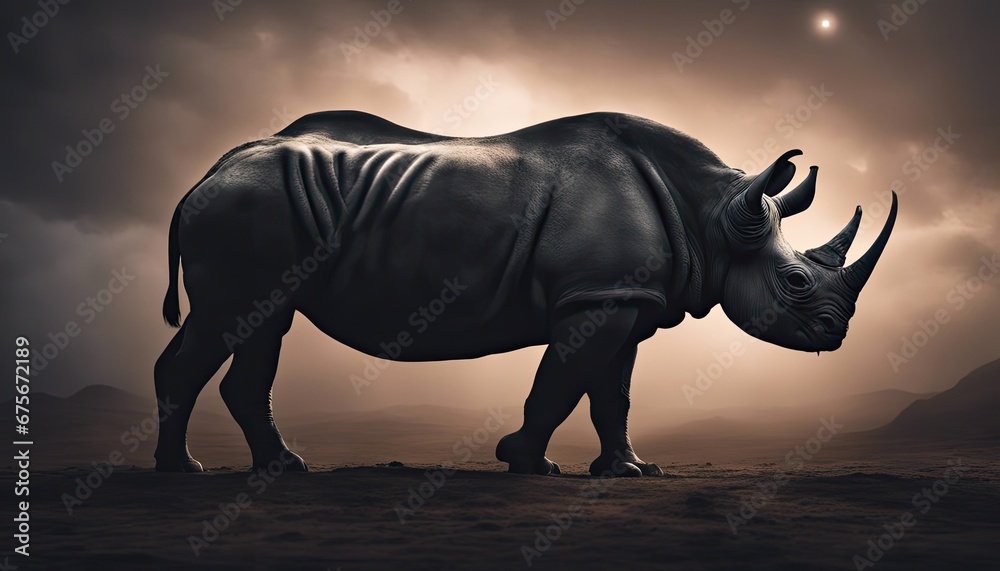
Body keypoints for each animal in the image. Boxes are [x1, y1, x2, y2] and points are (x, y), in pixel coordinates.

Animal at [154, 111, 897, 476]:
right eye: (796, 282)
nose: (835, 333)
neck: (715, 213)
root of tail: (203, 175)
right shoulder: (595, 297)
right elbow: (561, 383)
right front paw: (526, 462)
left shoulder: (622, 298)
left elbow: (612, 394)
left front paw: (629, 471)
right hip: (247, 206)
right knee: (233, 321)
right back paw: (195, 471)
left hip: (260, 209)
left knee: (259, 324)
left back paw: (266, 468)